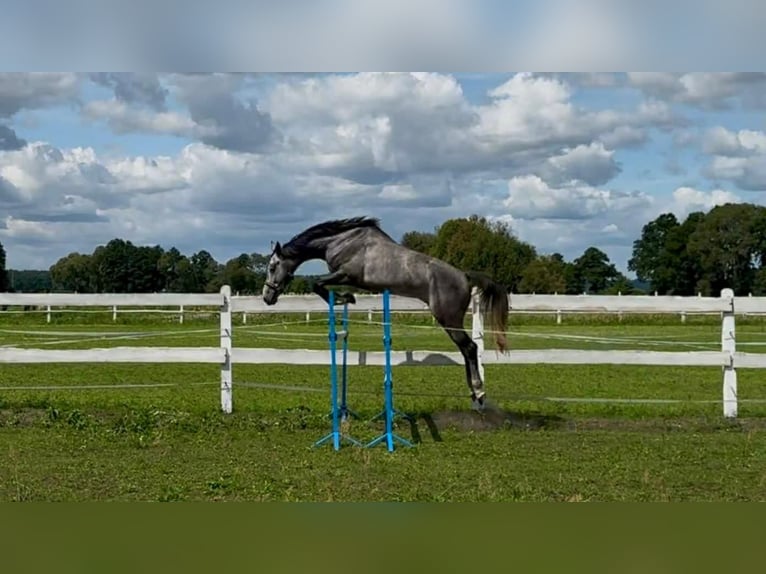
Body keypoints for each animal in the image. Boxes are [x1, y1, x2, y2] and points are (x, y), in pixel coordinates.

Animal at [262, 216, 510, 409]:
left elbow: (317, 283)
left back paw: (479, 392)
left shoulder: (346, 275)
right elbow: (320, 284)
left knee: (470, 348)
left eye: (273, 267)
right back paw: (473, 394)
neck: (342, 241)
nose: (267, 297)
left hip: (448, 318)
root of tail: (464, 277)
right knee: (467, 350)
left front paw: (345, 298)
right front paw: (347, 298)